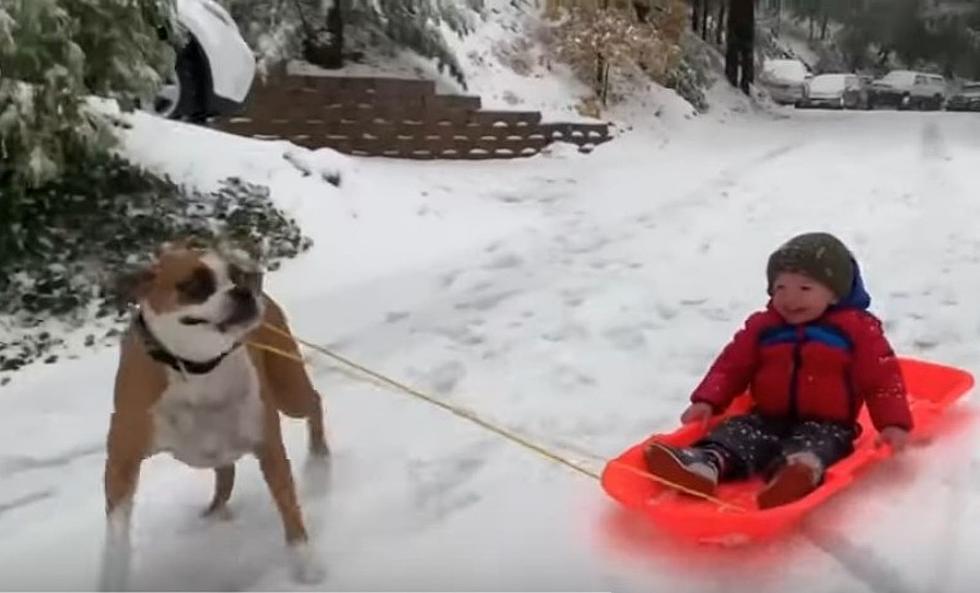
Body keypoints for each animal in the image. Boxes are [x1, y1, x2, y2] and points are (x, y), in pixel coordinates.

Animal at [98, 243, 330, 588]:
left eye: (238, 276)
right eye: (194, 284)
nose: (244, 290)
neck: (199, 370)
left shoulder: (268, 447)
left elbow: (289, 509)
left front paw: (306, 565)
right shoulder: (121, 461)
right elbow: (116, 531)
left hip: (290, 390)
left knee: (313, 402)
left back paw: (319, 460)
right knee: (225, 473)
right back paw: (212, 514)